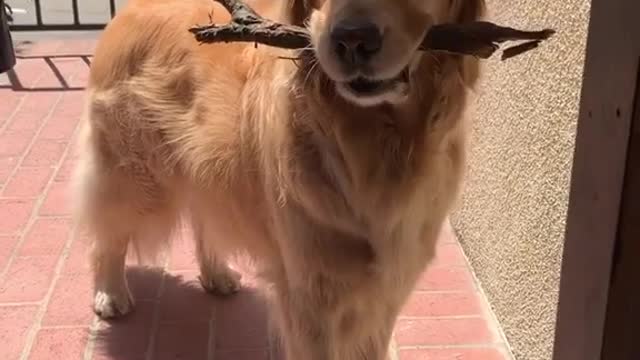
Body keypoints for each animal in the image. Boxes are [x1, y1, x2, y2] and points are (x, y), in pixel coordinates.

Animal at [72, 0, 484, 358]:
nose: (352, 40)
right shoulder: (314, 295)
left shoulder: (384, 290)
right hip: (136, 177)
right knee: (108, 232)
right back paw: (110, 293)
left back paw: (216, 273)